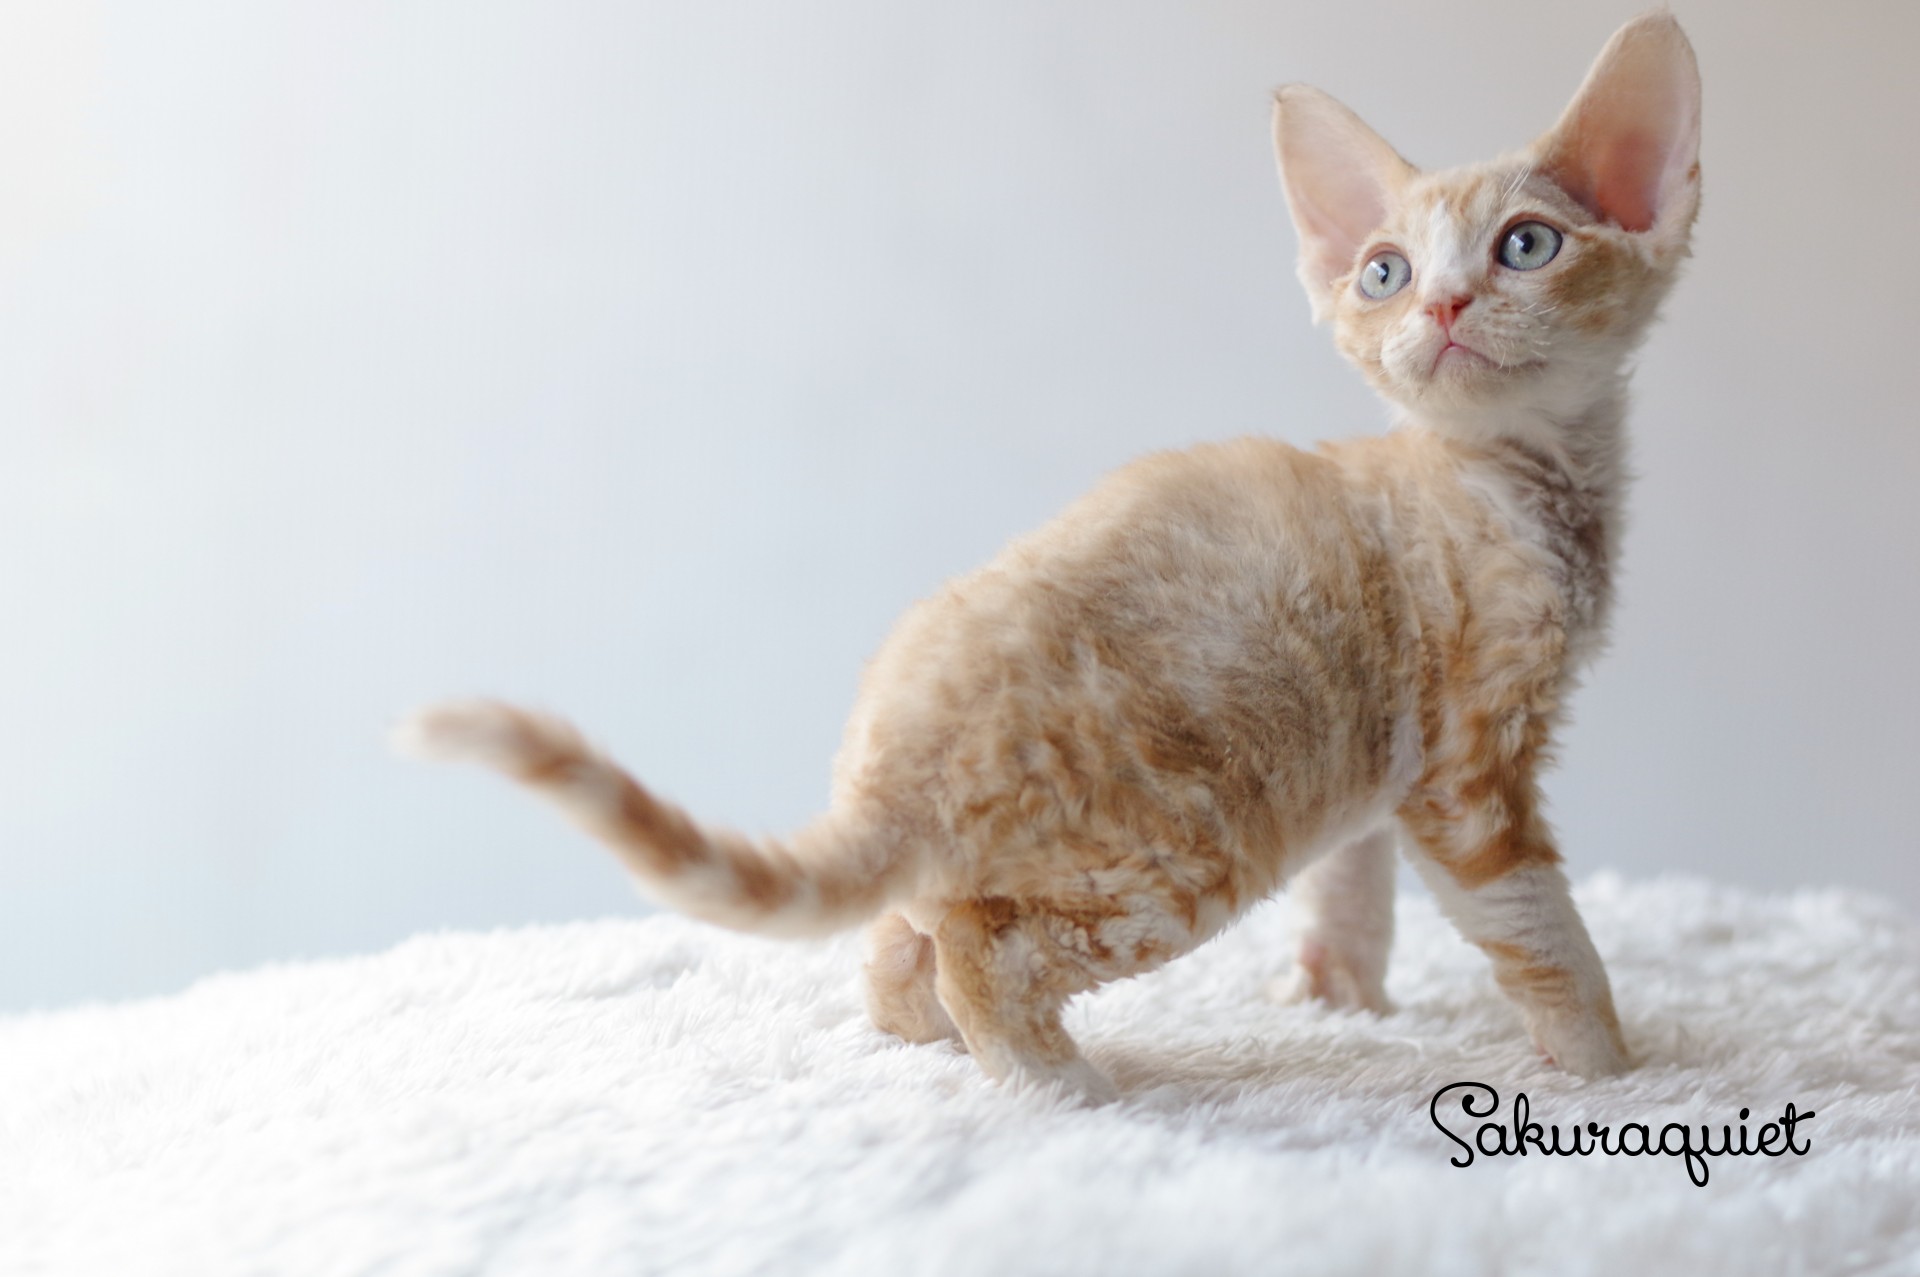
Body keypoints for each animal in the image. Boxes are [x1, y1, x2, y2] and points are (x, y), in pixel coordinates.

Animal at [398, 12, 1700, 1106]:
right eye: (1385, 270)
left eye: (1527, 245)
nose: (1440, 307)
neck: (1517, 483)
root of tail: (886, 759)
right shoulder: (1470, 765)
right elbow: (1539, 925)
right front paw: (1611, 1064)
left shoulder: (1387, 757)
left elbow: (1353, 887)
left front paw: (1343, 999)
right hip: (1183, 843)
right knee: (988, 945)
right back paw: (1056, 1082)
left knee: (905, 937)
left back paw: (936, 1040)